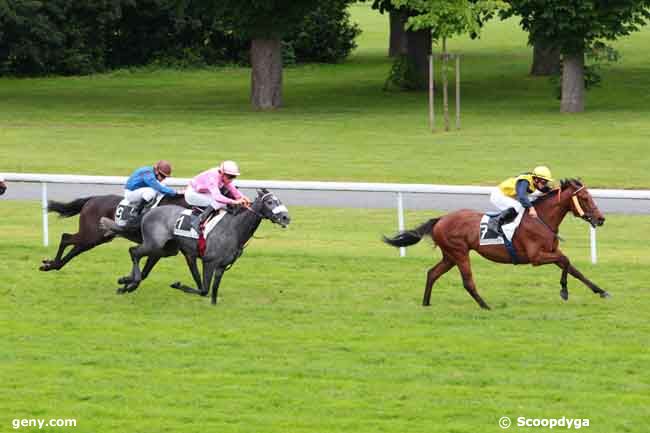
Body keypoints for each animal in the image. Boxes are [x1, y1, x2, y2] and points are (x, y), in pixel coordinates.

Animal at [41, 193, 186, 270]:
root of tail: (91, 199)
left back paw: (52, 265)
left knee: (76, 249)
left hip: (96, 238)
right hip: (90, 235)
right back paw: (52, 264)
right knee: (65, 237)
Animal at [100, 188, 290, 304]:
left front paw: (213, 305)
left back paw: (126, 283)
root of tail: (149, 212)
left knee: (138, 256)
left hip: (166, 249)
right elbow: (204, 289)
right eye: (270, 202)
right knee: (134, 252)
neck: (234, 228)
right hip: (154, 243)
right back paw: (131, 282)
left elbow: (212, 291)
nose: (286, 218)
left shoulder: (221, 266)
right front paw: (177, 284)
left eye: (279, 200)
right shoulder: (209, 261)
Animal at [382, 177, 604, 308]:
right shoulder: (536, 257)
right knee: (467, 281)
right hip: (459, 253)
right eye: (584, 198)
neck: (541, 218)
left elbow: (574, 269)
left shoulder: (550, 252)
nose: (601, 219)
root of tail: (441, 219)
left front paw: (601, 291)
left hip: (450, 256)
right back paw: (485, 306)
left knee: (432, 273)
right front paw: (564, 292)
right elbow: (566, 261)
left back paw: (426, 303)